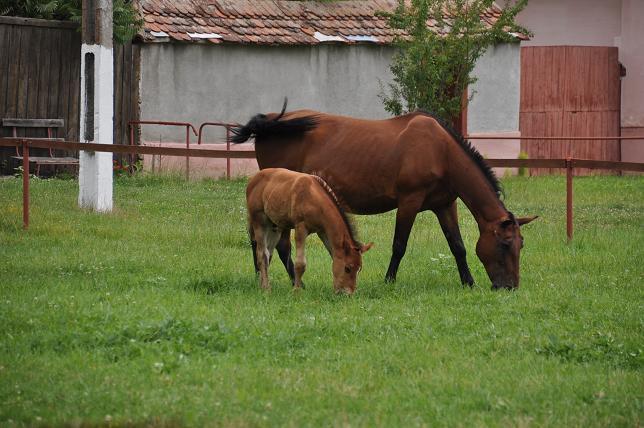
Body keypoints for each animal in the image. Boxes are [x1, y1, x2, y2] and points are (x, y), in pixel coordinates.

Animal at [231, 104, 540, 290]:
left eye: (521, 245)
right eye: (505, 245)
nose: (510, 287)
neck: (440, 150)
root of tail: (269, 123)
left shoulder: (444, 205)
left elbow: (458, 246)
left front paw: (469, 282)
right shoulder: (409, 202)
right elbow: (399, 245)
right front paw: (389, 281)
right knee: (276, 244)